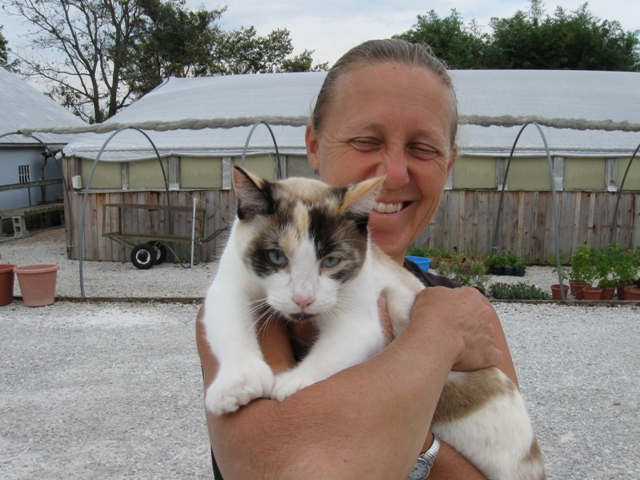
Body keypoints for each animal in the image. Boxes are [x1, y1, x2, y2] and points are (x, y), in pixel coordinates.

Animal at [204, 166, 544, 480]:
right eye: (276, 258)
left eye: (331, 261)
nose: (303, 299)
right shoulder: (228, 286)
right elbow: (229, 324)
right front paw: (238, 382)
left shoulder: (361, 320)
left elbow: (332, 354)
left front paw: (291, 384)